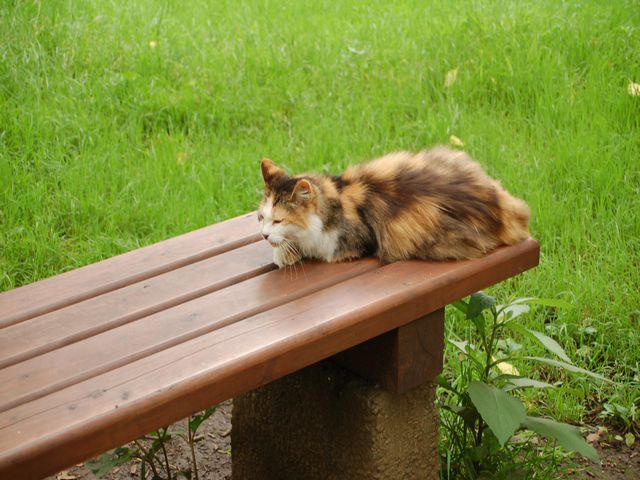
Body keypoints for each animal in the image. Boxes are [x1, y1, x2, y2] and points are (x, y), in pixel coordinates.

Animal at [256, 144, 528, 268]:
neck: (338, 199)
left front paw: (283, 254)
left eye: (278, 220)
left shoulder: (352, 243)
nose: (264, 235)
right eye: (261, 218)